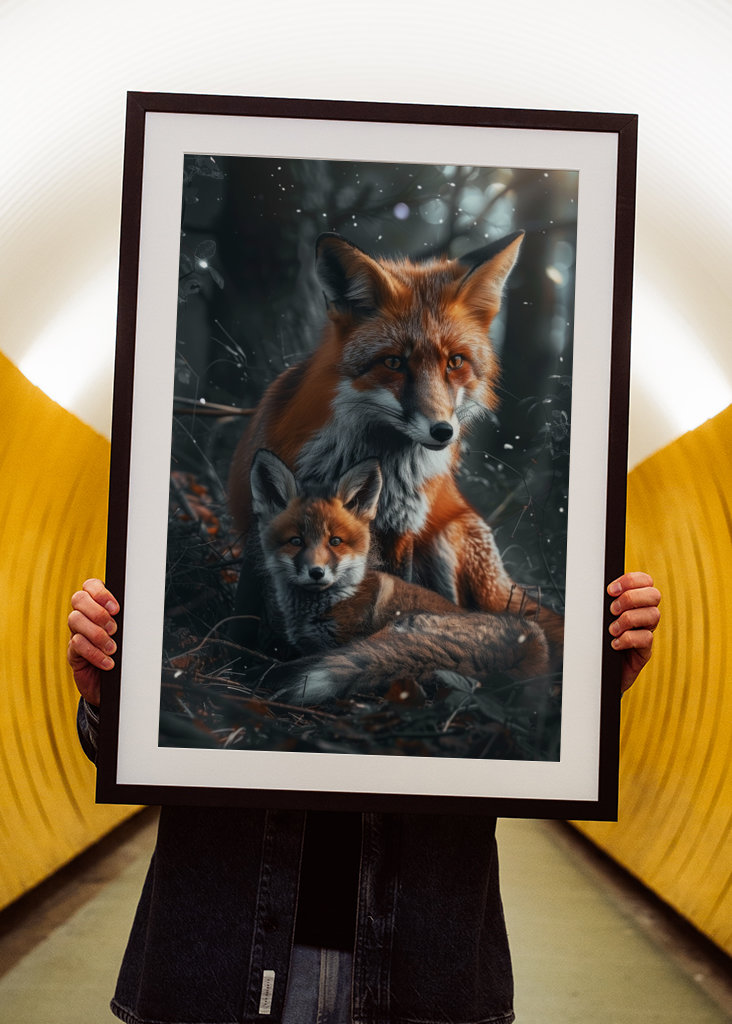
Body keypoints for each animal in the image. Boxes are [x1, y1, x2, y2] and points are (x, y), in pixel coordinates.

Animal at [229, 230, 564, 663]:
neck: (375, 458)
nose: (443, 431)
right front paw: (234, 660)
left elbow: (400, 593)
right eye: (394, 363)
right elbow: (243, 612)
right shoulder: (262, 520)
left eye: (455, 362)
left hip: (446, 538)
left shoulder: (403, 529)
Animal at [250, 449, 549, 703]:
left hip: (394, 630)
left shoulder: (341, 641)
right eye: (296, 541)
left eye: (335, 542)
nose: (316, 573)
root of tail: (529, 645)